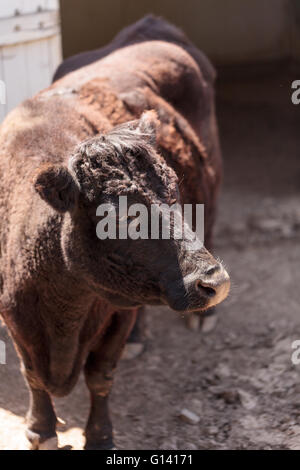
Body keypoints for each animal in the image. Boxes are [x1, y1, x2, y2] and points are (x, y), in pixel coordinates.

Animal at [0, 16, 229, 450]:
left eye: (174, 194)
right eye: (120, 216)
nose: (216, 282)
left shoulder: (115, 315)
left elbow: (100, 376)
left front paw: (100, 436)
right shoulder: (16, 316)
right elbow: (31, 374)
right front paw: (41, 429)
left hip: (210, 183)